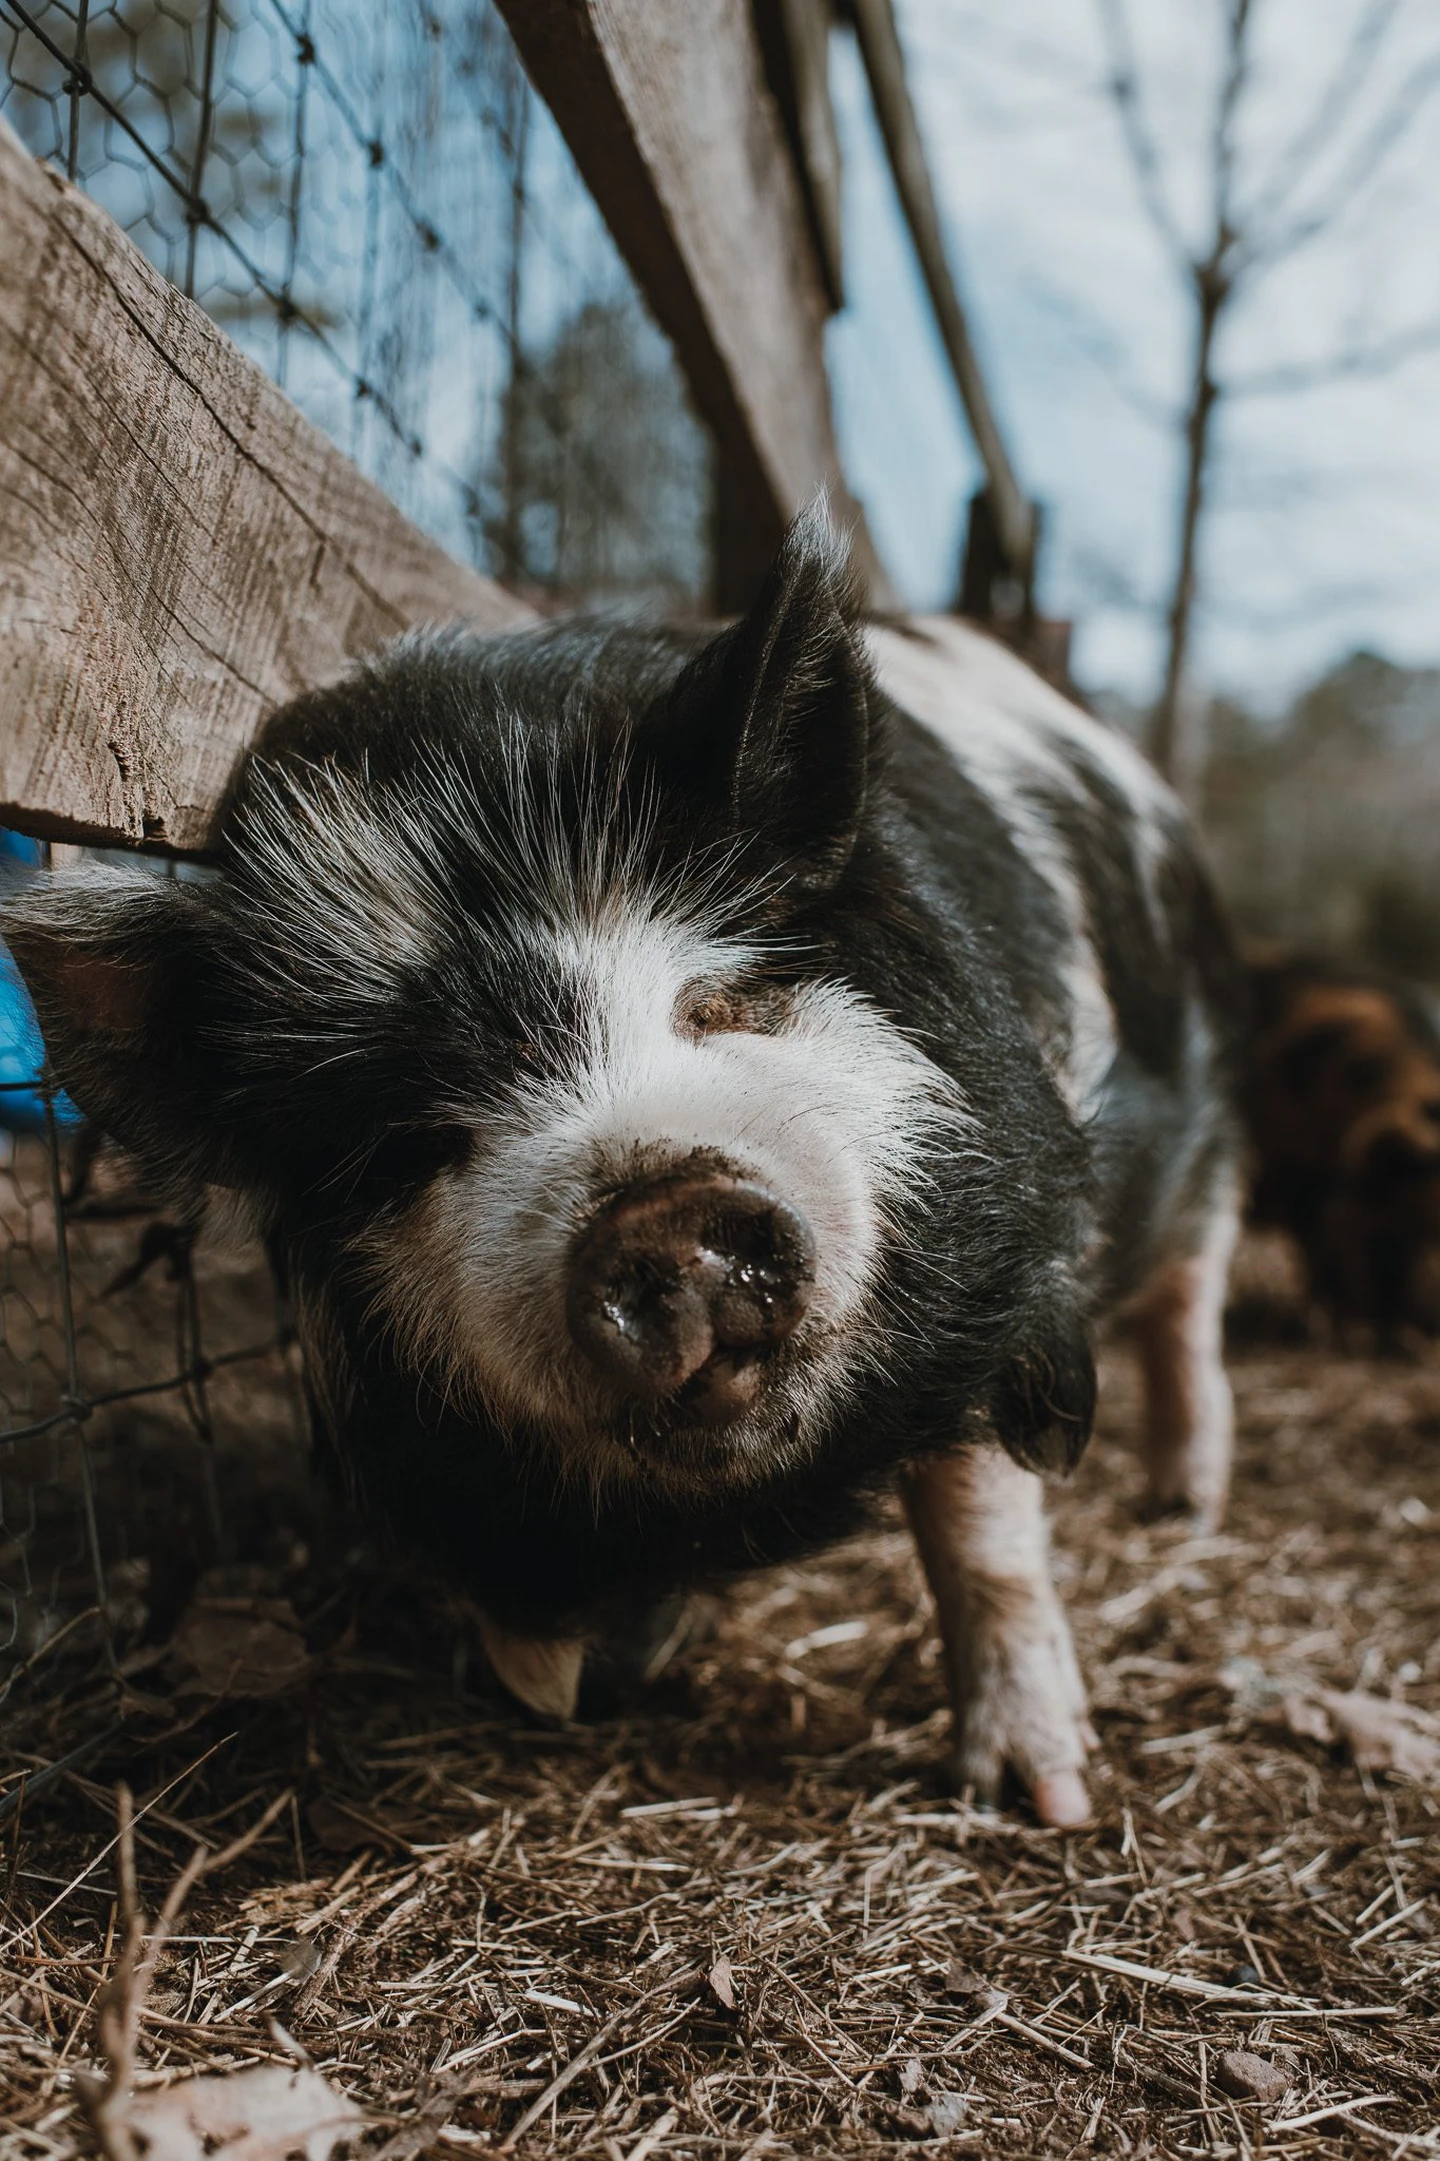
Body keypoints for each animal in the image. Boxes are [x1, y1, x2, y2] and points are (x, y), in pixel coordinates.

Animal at [5, 512, 1244, 1827]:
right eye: (412, 1142)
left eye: (722, 1002)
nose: (658, 1210)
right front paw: (557, 1689)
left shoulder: (998, 1257)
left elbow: (980, 1510)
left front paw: (1038, 1799)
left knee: (1191, 1294)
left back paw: (1183, 1504)